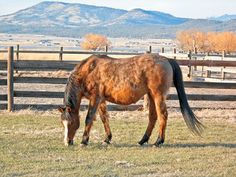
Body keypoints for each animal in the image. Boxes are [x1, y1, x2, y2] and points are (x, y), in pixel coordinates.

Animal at [57, 53, 203, 147]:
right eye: (63, 123)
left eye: (70, 123)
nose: (67, 142)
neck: (88, 71)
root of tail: (166, 59)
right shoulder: (101, 100)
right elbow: (104, 118)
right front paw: (107, 139)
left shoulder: (95, 98)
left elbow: (89, 119)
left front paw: (84, 141)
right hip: (151, 95)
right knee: (153, 117)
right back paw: (143, 140)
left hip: (158, 95)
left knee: (163, 116)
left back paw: (158, 141)